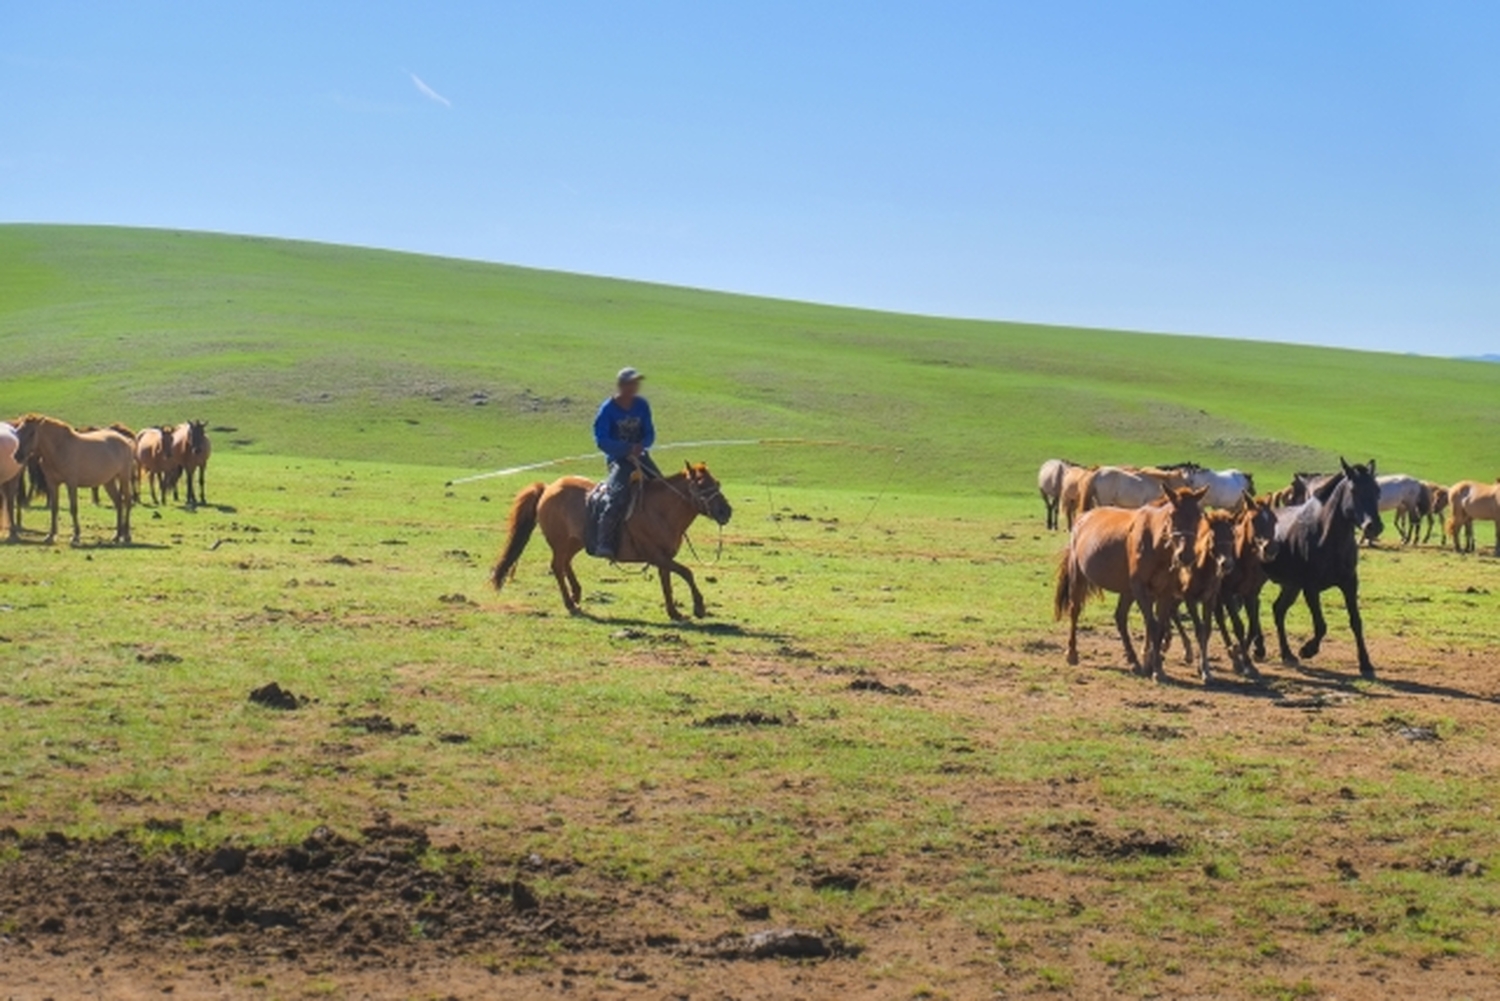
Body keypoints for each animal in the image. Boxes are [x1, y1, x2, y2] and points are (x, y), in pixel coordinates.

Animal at [12, 414, 133, 549]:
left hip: (123, 478)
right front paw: (50, 536)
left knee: (127, 502)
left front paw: (75, 537)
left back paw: (126, 536)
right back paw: (117, 535)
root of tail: (126, 441)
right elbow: (54, 508)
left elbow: (73, 508)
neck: (60, 448)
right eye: (18, 431)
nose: (17, 456)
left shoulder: (71, 484)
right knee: (118, 503)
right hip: (109, 482)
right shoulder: (52, 484)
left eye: (32, 433)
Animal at [492, 462, 732, 618]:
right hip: (560, 542)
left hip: (576, 542)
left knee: (565, 563)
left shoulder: (664, 558)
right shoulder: (657, 556)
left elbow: (667, 583)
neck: (660, 511)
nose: (726, 511)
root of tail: (548, 488)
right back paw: (570, 603)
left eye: (716, 482)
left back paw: (576, 594)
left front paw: (674, 612)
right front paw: (699, 607)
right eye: (700, 484)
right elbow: (687, 573)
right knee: (557, 566)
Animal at [1254, 459, 1380, 681]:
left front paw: (1366, 664)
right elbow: (1321, 625)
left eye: (1377, 491)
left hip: (1290, 585)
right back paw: (1259, 648)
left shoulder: (1349, 583)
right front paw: (1307, 650)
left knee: (1278, 610)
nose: (1374, 526)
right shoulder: (1310, 588)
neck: (1327, 536)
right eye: (1354, 490)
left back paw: (1287, 654)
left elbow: (1356, 622)